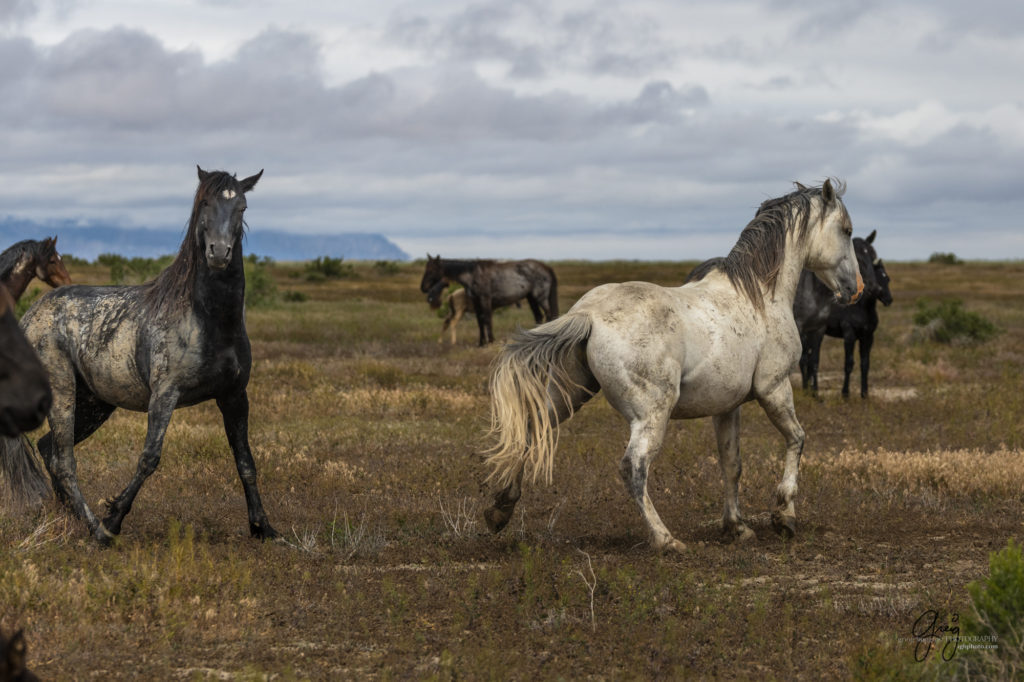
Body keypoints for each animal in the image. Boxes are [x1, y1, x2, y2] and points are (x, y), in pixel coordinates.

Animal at [0, 166, 280, 544]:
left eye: (243, 207)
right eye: (205, 202)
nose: (218, 253)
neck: (208, 320)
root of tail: (32, 314)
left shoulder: (235, 396)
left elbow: (246, 462)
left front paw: (264, 528)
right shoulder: (164, 396)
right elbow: (149, 458)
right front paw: (114, 517)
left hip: (96, 403)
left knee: (48, 449)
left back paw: (69, 518)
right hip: (62, 392)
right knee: (63, 460)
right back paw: (97, 531)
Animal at [417, 253, 561, 346]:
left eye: (432, 270)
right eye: (426, 268)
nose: (423, 287)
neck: (474, 274)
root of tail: (546, 267)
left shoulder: (485, 300)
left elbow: (487, 319)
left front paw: (491, 340)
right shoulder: (476, 302)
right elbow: (480, 321)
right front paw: (481, 342)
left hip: (540, 298)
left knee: (549, 315)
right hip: (531, 299)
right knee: (538, 316)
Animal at [483, 178, 860, 548]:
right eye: (846, 230)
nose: (854, 289)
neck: (761, 296)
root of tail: (587, 315)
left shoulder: (727, 407)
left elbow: (731, 463)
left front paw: (737, 527)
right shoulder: (775, 388)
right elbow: (797, 439)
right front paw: (784, 516)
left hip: (568, 396)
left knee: (530, 431)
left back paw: (499, 510)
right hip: (652, 413)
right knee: (633, 467)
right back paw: (666, 540)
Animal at [790, 229, 888, 395]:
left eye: (873, 257)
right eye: (858, 258)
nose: (875, 288)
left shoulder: (819, 330)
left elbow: (814, 360)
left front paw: (815, 392)